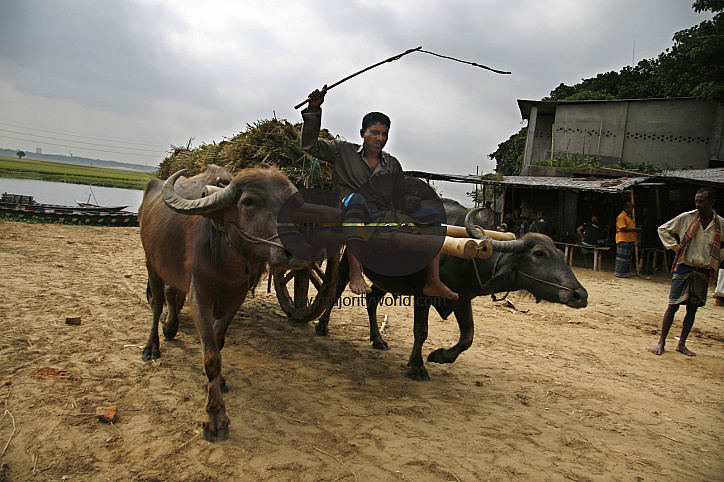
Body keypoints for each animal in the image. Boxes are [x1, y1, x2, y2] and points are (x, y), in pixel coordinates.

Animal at [139, 166, 306, 440]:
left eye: (291, 204)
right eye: (248, 202)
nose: (296, 252)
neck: (227, 262)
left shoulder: (235, 299)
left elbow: (217, 342)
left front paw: (219, 381)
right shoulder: (199, 297)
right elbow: (211, 356)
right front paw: (215, 417)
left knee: (172, 293)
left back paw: (171, 328)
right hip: (150, 262)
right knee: (157, 303)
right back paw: (151, 347)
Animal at [316, 199, 588, 380]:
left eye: (561, 255)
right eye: (539, 254)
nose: (579, 294)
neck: (470, 256)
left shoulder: (462, 299)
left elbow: (468, 337)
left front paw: (439, 356)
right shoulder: (423, 297)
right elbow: (421, 331)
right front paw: (417, 366)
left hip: (386, 278)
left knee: (372, 300)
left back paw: (378, 339)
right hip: (347, 261)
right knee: (335, 291)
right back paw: (322, 326)